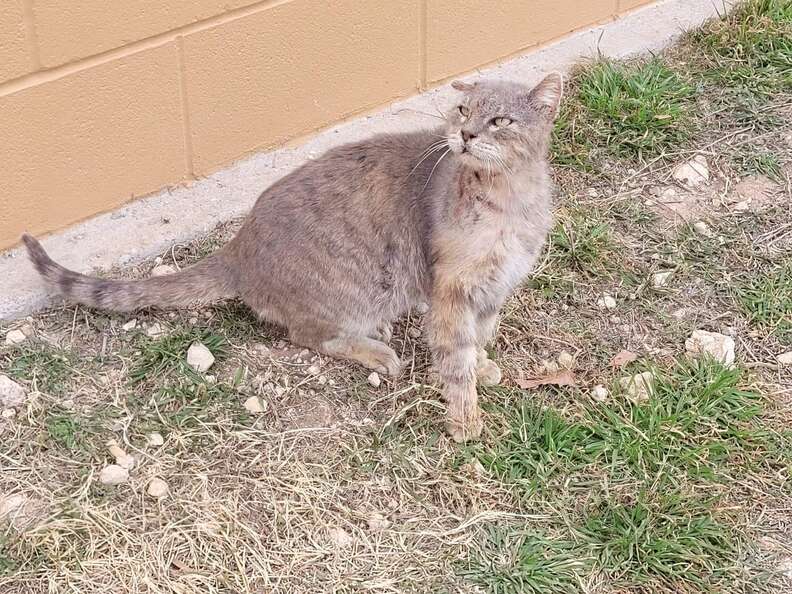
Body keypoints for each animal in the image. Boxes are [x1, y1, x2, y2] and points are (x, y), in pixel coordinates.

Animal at [23, 73, 556, 440]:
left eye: (500, 120)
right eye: (462, 110)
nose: (466, 135)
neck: (508, 202)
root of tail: (237, 248)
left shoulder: (492, 289)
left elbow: (478, 338)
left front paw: (483, 366)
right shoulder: (452, 290)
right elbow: (455, 356)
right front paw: (465, 419)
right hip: (354, 291)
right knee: (310, 334)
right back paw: (379, 351)